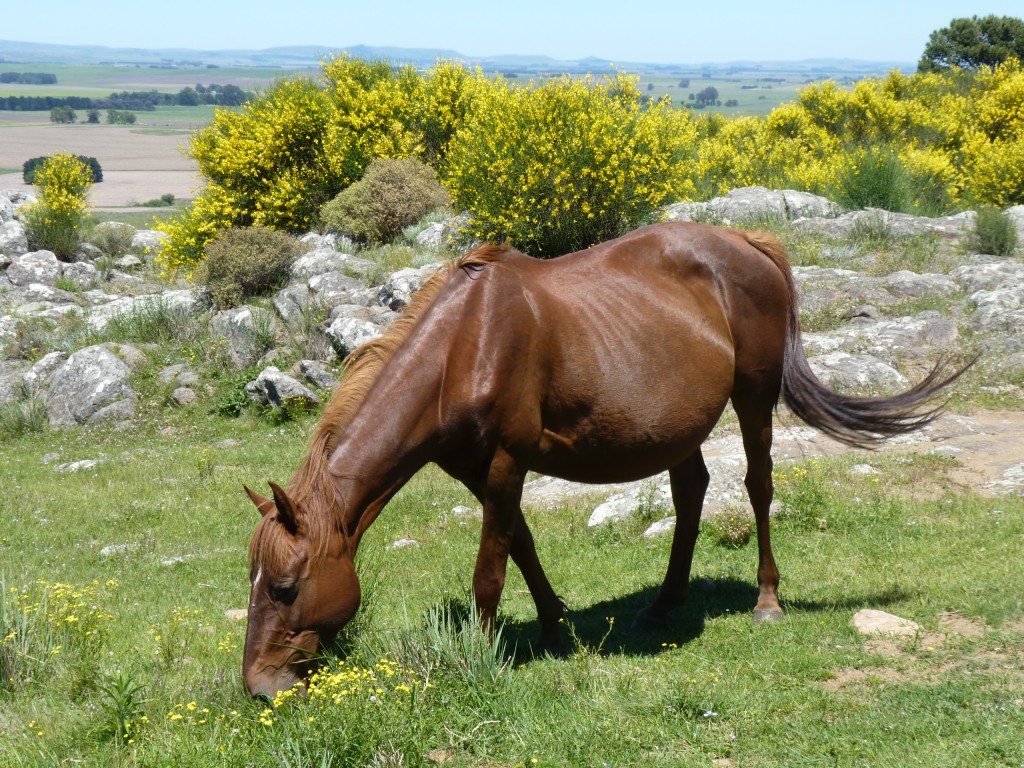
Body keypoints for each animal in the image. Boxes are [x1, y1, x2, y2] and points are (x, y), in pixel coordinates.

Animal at [243, 221, 962, 696]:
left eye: (284, 587)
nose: (259, 685)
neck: (463, 347)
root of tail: (750, 243)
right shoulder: (480, 472)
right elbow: (522, 545)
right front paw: (556, 628)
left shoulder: (504, 464)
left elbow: (489, 571)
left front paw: (480, 654)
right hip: (679, 426)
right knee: (692, 491)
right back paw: (664, 604)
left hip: (754, 399)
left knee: (758, 486)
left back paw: (766, 598)